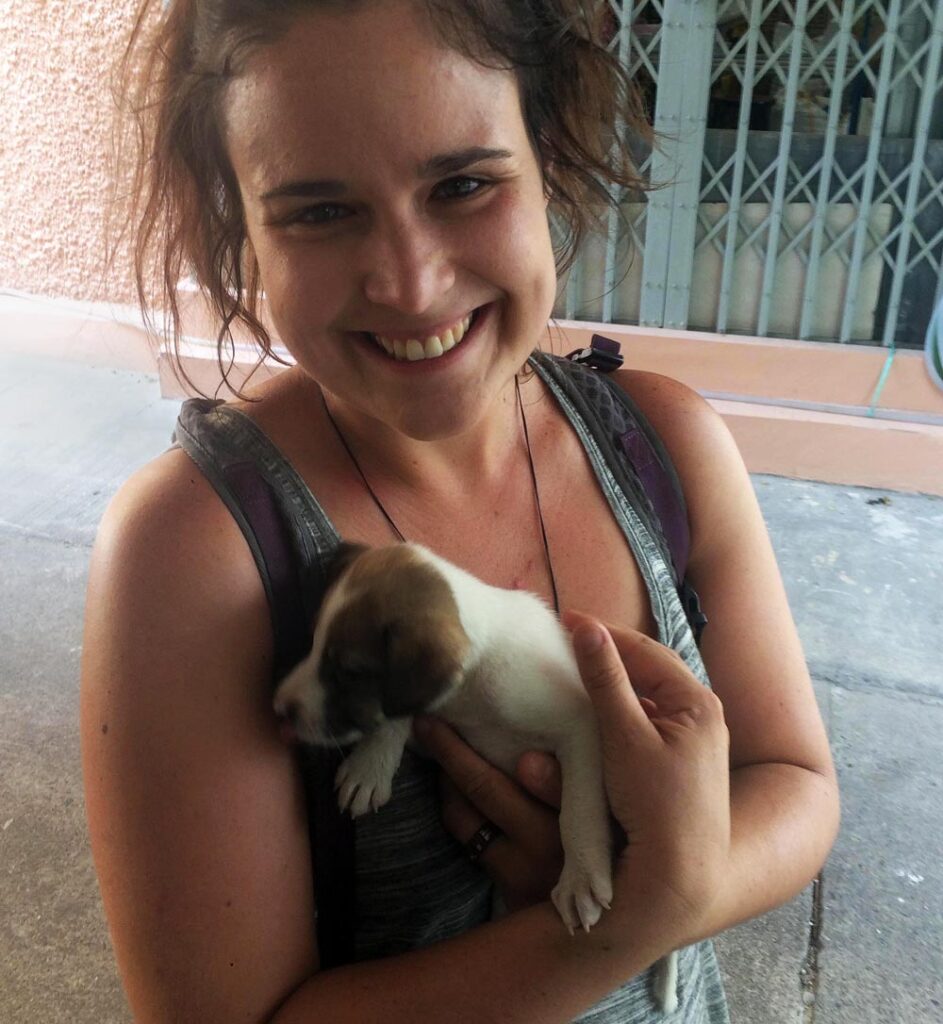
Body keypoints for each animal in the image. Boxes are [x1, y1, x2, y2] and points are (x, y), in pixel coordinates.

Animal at [272, 540, 675, 1011]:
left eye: (348, 672)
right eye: (313, 642)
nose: (279, 710)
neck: (475, 686)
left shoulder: (584, 725)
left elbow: (578, 809)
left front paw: (579, 876)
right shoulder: (435, 720)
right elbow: (397, 715)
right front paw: (371, 764)